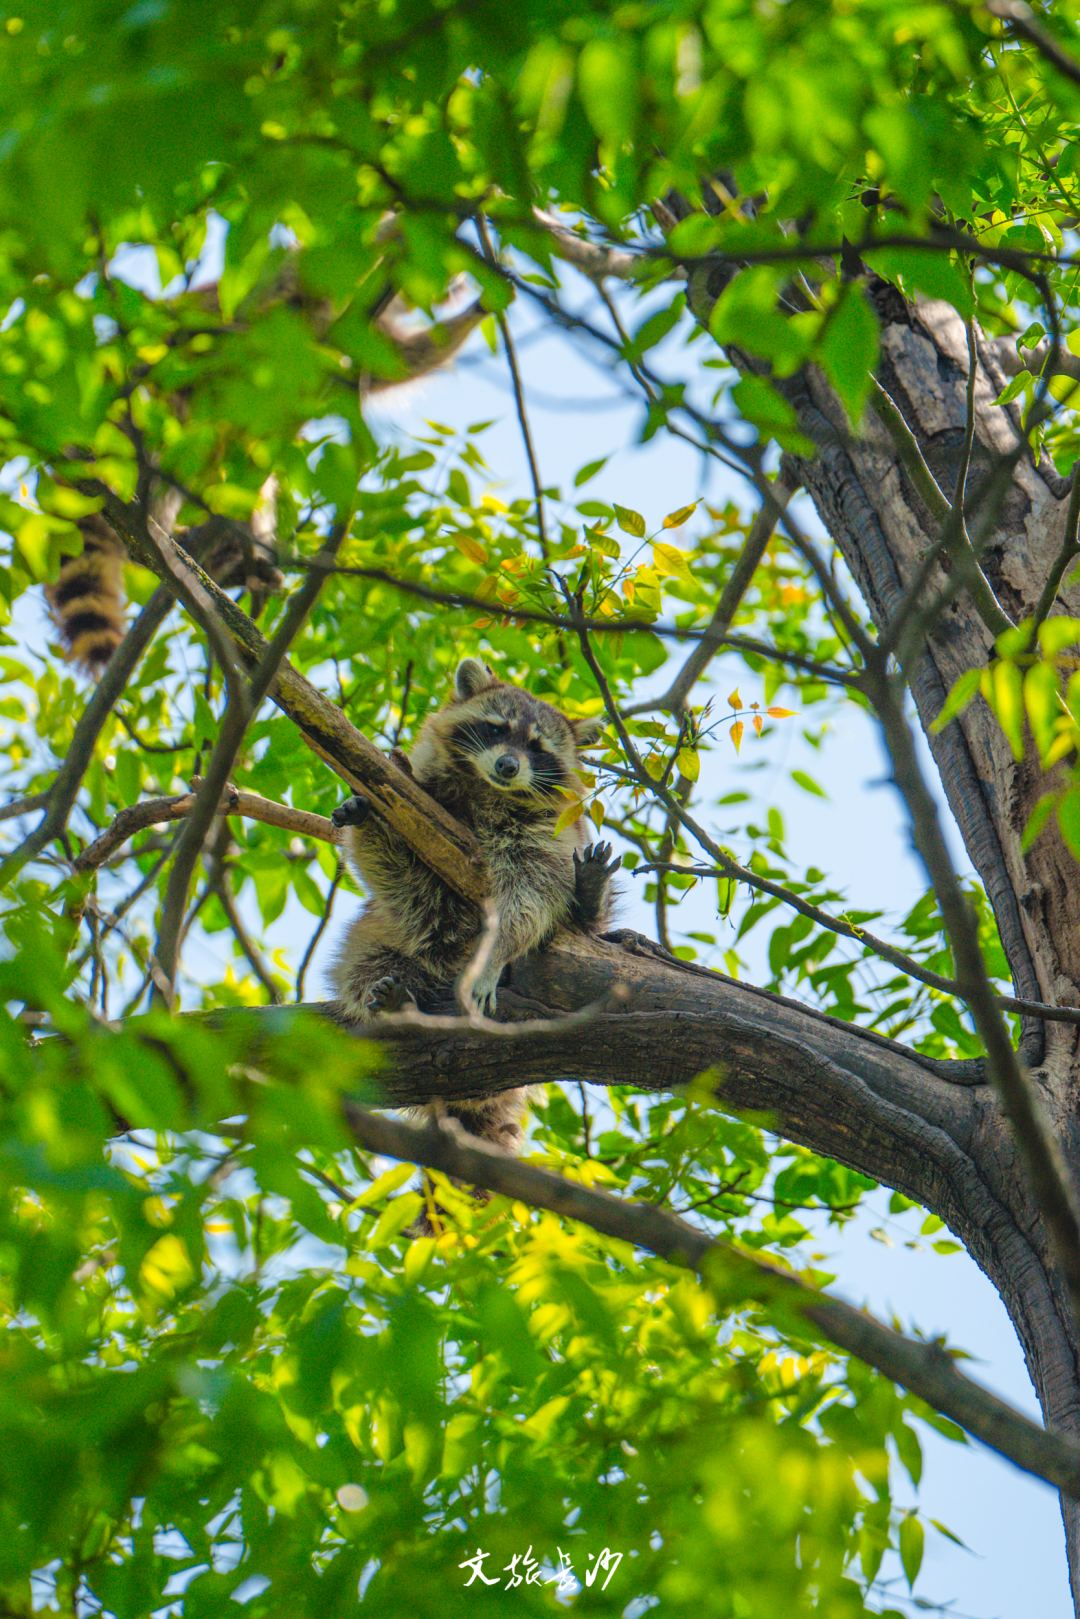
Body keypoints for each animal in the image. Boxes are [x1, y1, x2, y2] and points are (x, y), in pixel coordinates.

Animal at [327, 660, 615, 1165]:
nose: (507, 765)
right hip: (384, 937)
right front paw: (369, 807)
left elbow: (532, 895)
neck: (486, 789)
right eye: (496, 729)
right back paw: (399, 1003)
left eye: (537, 748)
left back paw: (590, 897)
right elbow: (395, 865)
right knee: (372, 960)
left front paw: (496, 952)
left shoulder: (546, 832)